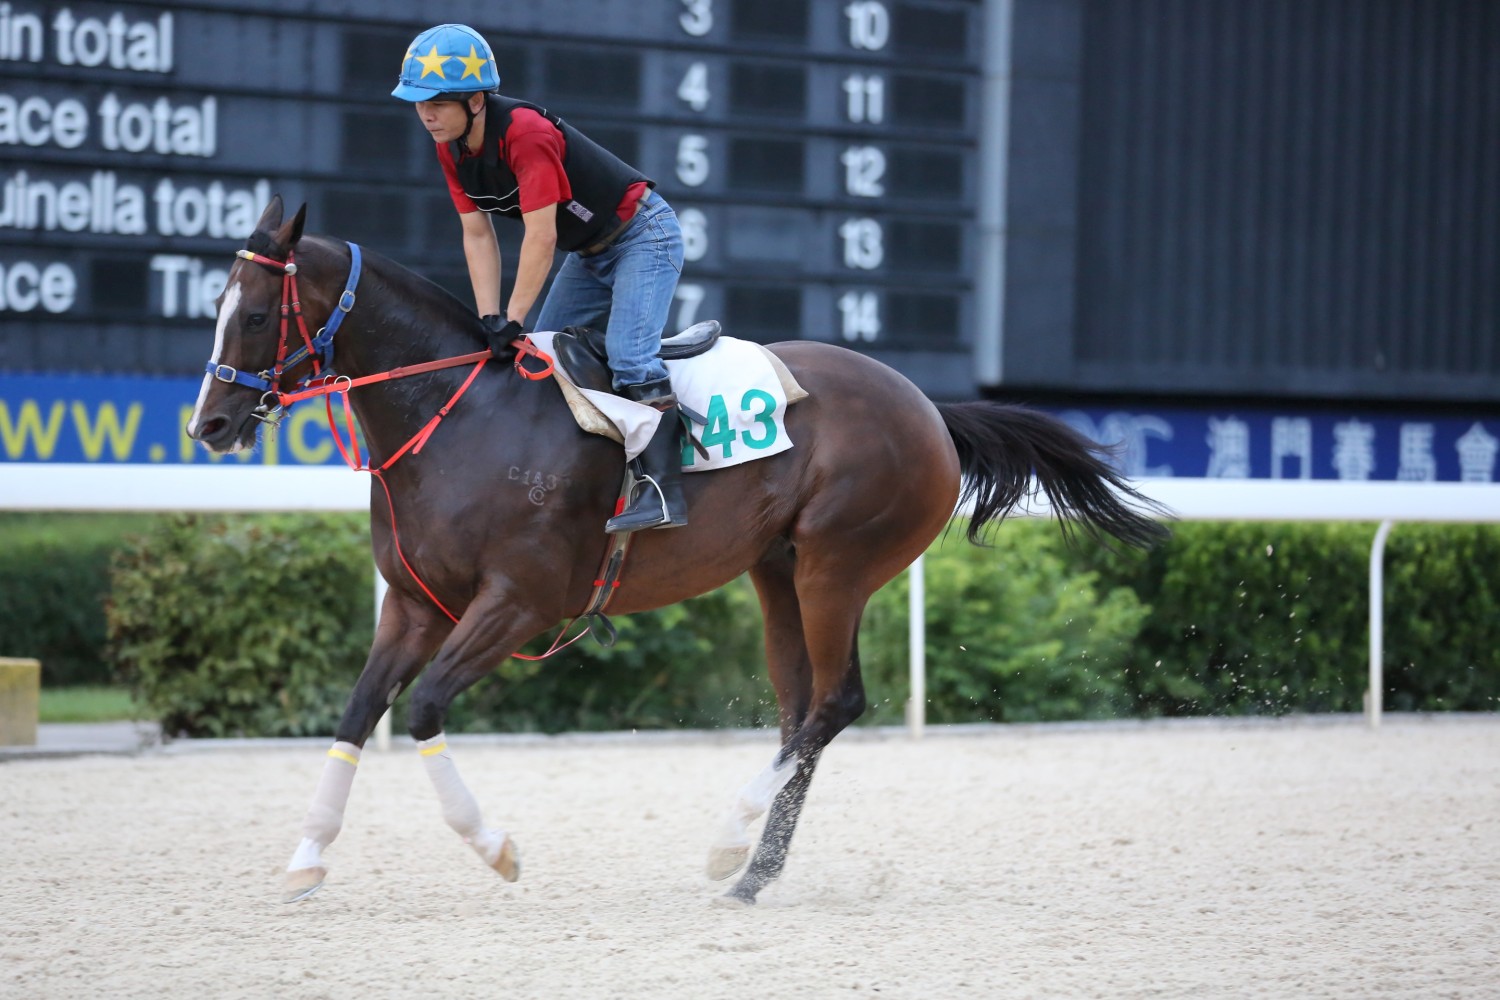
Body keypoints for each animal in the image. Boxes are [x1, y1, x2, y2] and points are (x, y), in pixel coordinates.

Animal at [187, 197, 1170, 905]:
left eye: (257, 314)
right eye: (216, 309)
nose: (211, 425)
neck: (457, 416)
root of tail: (930, 407)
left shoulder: (520, 602)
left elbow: (424, 708)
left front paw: (496, 849)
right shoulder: (413, 603)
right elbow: (359, 711)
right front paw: (306, 858)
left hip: (838, 564)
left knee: (836, 703)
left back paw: (731, 842)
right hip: (778, 571)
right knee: (800, 712)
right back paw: (752, 874)